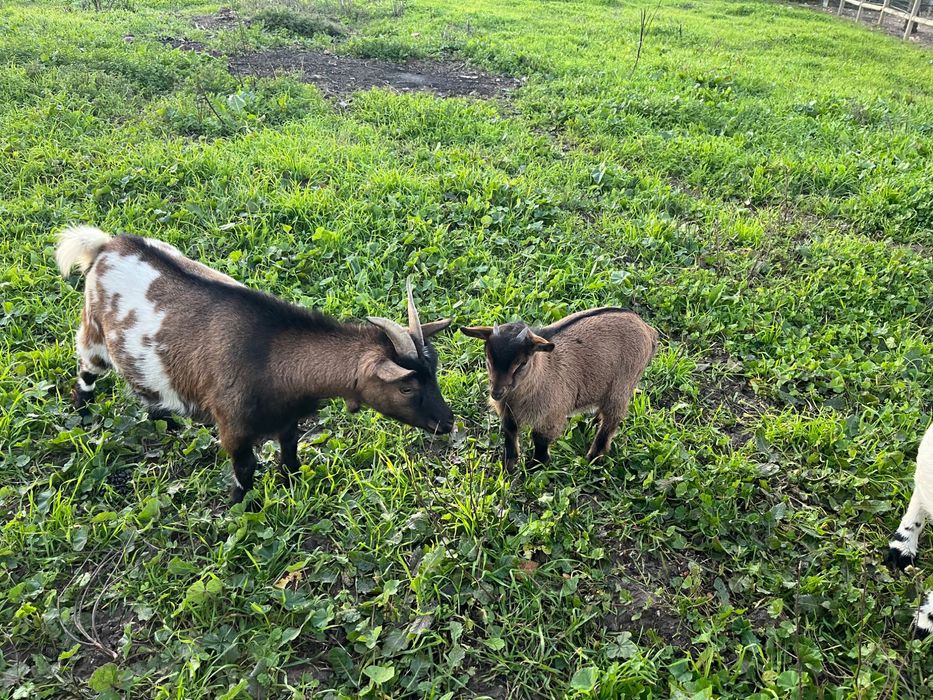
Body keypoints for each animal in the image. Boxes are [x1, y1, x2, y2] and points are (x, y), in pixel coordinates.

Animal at [56, 225, 454, 503]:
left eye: (434, 372)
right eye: (406, 386)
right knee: (87, 372)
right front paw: (239, 509)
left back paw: (168, 424)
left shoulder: (288, 420)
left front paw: (292, 487)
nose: (447, 423)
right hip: (94, 334)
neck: (271, 355)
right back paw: (84, 414)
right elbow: (244, 471)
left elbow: (290, 455)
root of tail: (107, 245)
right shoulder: (232, 426)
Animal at [461, 307, 657, 467]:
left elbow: (540, 440)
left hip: (621, 387)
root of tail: (648, 329)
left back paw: (593, 457)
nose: (496, 393)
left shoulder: (551, 415)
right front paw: (509, 465)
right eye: (488, 358)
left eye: (522, 363)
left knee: (612, 420)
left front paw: (536, 466)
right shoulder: (508, 412)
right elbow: (510, 432)